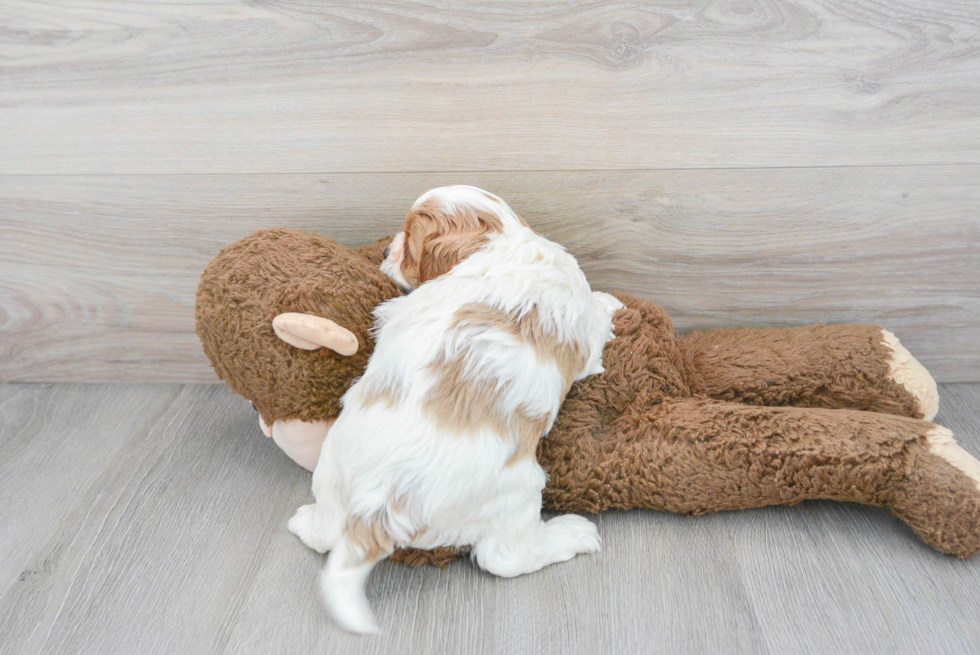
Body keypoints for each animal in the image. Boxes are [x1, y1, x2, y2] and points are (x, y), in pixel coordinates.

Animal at [288, 186, 620, 636]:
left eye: (409, 245)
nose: (387, 248)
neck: (502, 242)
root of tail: (378, 507)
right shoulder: (582, 340)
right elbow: (596, 326)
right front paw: (608, 302)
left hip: (329, 474)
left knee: (326, 532)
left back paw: (304, 522)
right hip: (518, 490)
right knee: (505, 557)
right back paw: (573, 534)